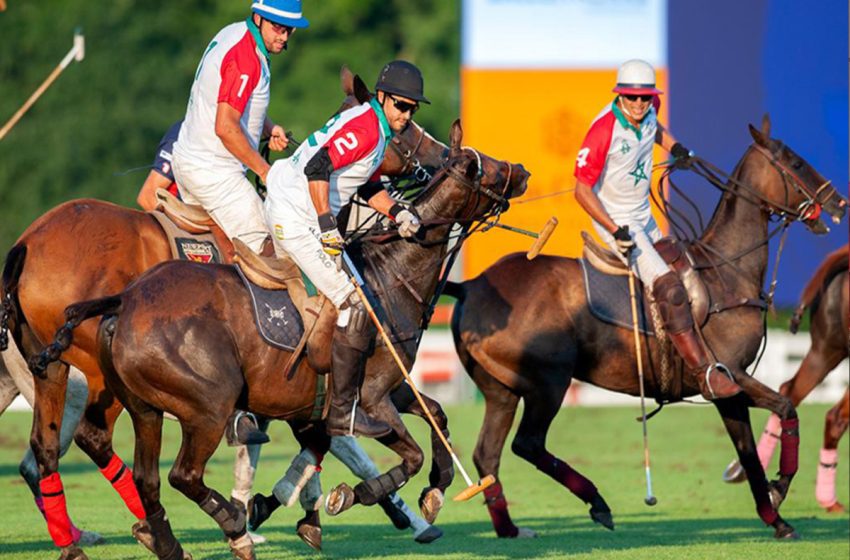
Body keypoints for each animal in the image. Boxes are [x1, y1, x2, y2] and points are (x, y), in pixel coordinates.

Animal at [0, 69, 450, 560]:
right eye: (403, 130)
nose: (445, 155)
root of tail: (25, 242)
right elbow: (338, 440)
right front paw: (394, 513)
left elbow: (304, 440)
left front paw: (291, 511)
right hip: (93, 374)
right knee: (85, 440)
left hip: (47, 369)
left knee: (49, 447)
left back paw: (91, 539)